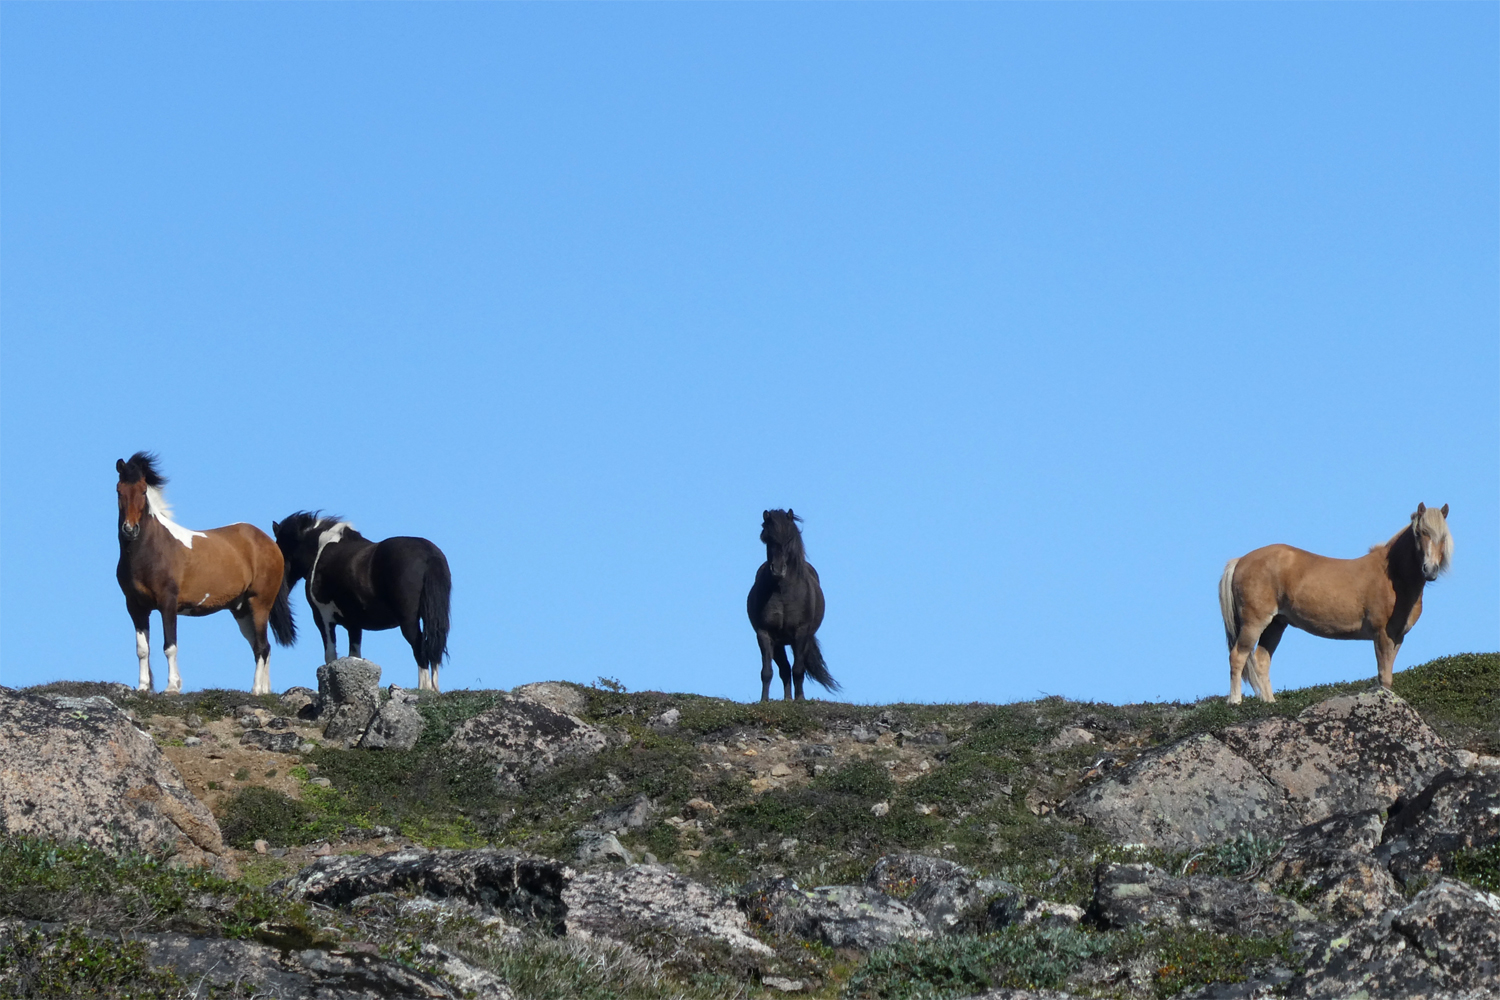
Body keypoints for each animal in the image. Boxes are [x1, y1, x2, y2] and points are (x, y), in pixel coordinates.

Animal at [114, 452, 295, 695]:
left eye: (143, 490)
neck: (150, 550)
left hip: (260, 603)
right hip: (241, 610)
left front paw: (172, 687)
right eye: (119, 490)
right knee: (260, 646)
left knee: (262, 647)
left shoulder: (167, 603)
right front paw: (143, 687)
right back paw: (265, 690)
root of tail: (270, 543)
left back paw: (256, 689)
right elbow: (142, 649)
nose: (130, 529)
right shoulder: (135, 606)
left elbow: (170, 646)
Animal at [273, 512, 450, 692]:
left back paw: (424, 688)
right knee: (433, 647)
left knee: (419, 646)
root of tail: (429, 554)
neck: (321, 549)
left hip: (408, 620)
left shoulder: (323, 617)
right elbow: (354, 656)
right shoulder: (354, 625)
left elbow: (330, 655)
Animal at [747, 512, 840, 701]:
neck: (782, 591)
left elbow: (798, 669)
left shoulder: (801, 632)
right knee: (784, 669)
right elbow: (767, 672)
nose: (777, 570)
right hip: (779, 644)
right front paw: (764, 700)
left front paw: (800, 699)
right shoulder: (764, 634)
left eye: (789, 538)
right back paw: (787, 699)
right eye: (767, 538)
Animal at [1218, 500, 1452, 704]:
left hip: (1276, 624)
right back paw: (1235, 701)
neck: (1393, 576)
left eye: (1443, 536)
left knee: (1261, 660)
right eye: (1420, 533)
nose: (1430, 570)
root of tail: (1240, 561)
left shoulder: (1397, 638)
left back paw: (1269, 702)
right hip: (1254, 621)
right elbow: (1384, 678)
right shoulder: (1382, 635)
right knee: (1238, 656)